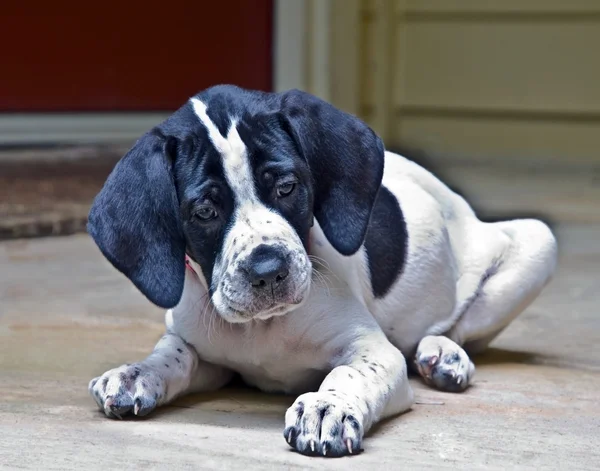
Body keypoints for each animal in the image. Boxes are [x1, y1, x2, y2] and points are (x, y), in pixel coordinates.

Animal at [85, 85, 556, 458]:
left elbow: (348, 374)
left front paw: (327, 407)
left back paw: (443, 353)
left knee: (456, 326)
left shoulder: (373, 350)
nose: (267, 270)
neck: (263, 328)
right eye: (204, 211)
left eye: (287, 187)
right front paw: (136, 373)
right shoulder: (201, 348)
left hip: (539, 241)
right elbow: (172, 355)